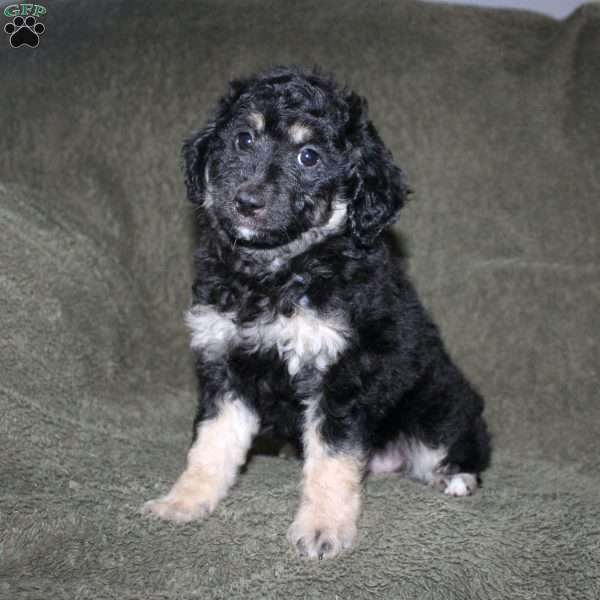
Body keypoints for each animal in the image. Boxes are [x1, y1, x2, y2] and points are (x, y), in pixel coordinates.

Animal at [143, 64, 490, 556]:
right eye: (243, 139)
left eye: (308, 156)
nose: (247, 202)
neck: (277, 272)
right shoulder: (224, 364)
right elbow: (211, 445)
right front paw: (185, 501)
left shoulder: (343, 376)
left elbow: (331, 458)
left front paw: (322, 528)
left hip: (440, 409)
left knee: (462, 443)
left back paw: (457, 477)